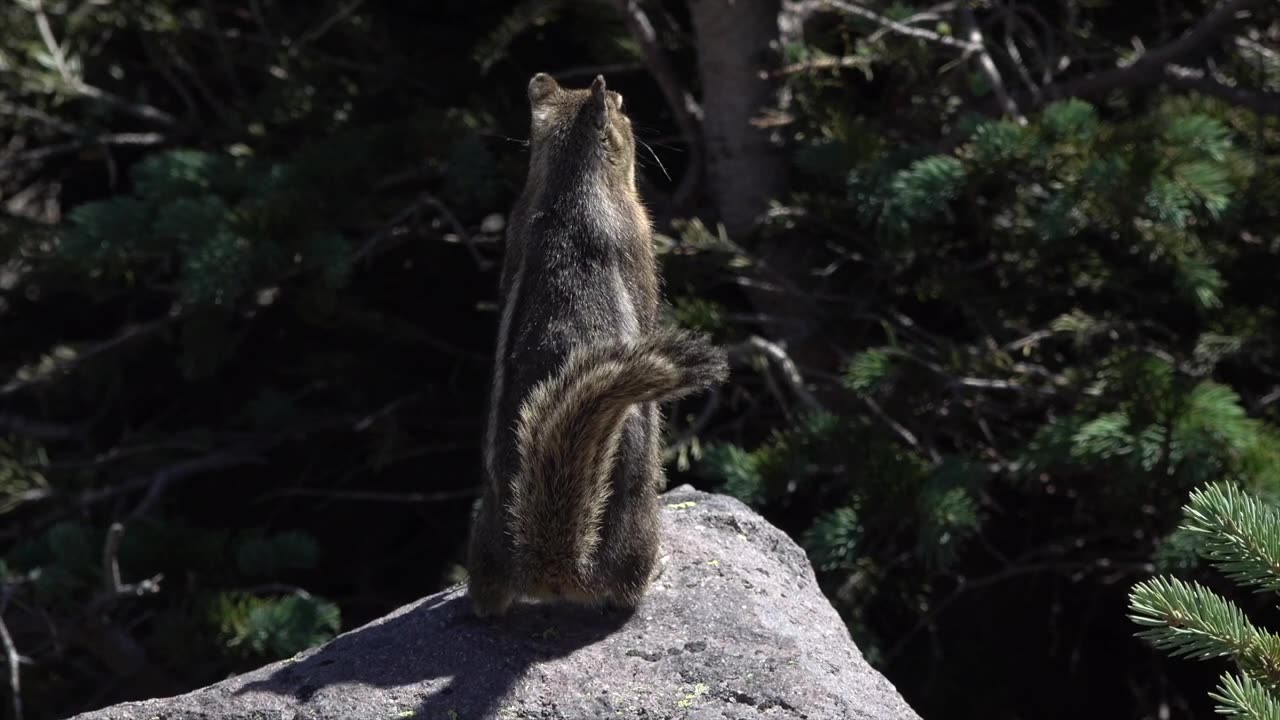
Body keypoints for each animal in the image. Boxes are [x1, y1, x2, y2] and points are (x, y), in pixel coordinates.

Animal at [471, 73, 732, 614]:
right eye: (621, 105)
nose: (629, 111)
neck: (566, 183)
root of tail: (553, 564)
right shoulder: (640, 238)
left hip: (482, 533)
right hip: (639, 521)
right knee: (624, 593)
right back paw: (656, 572)